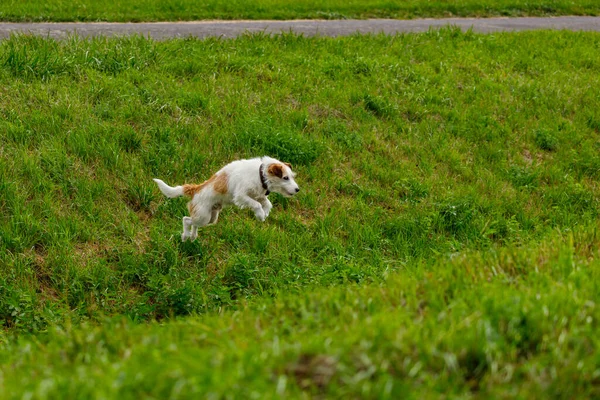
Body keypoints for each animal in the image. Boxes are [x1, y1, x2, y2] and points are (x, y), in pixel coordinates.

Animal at [152, 155, 298, 241]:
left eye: (292, 177)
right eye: (285, 178)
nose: (297, 190)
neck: (260, 174)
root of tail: (196, 189)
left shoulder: (258, 194)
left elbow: (267, 203)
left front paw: (265, 213)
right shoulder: (241, 196)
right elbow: (256, 204)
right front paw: (260, 214)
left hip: (211, 218)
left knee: (193, 223)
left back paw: (192, 236)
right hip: (203, 216)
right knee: (186, 220)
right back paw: (186, 235)